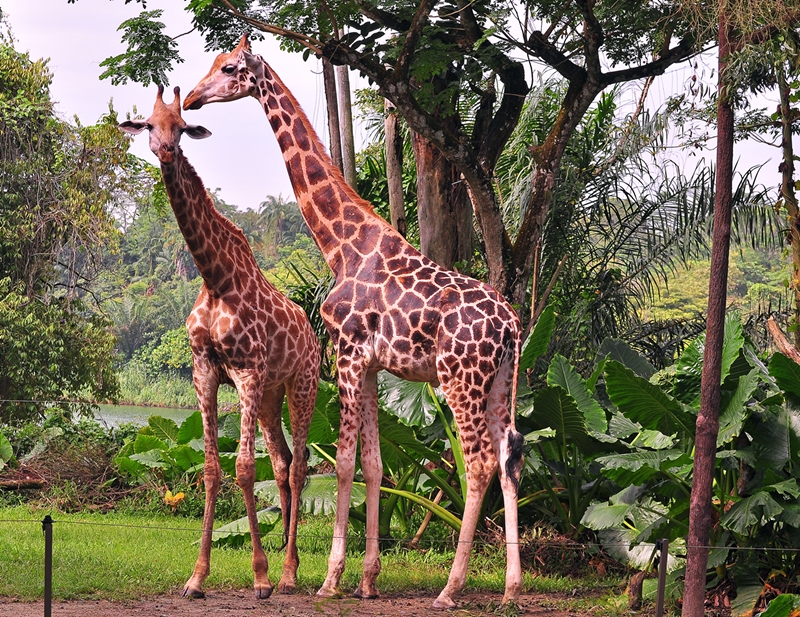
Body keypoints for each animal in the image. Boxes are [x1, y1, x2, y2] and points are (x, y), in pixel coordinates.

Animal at [119, 85, 320, 600]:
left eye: (181, 127)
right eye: (147, 124)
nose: (165, 150)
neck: (215, 277)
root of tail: (313, 332)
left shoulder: (247, 370)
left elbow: (245, 469)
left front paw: (261, 577)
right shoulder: (205, 370)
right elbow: (211, 470)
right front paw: (196, 578)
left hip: (302, 384)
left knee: (299, 466)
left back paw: (289, 573)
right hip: (270, 396)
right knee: (283, 461)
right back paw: (285, 560)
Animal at [184, 35, 525, 610]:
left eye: (228, 68)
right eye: (210, 64)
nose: (189, 98)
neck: (343, 246)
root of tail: (514, 329)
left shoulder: (346, 353)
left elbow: (342, 462)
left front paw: (330, 579)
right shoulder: (368, 364)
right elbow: (372, 465)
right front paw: (367, 579)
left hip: (460, 379)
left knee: (477, 463)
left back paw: (451, 589)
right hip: (500, 381)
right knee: (509, 457)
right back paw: (511, 589)